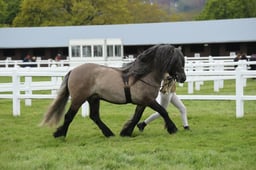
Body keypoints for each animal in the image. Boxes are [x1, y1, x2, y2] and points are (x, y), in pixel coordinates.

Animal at [40, 44, 186, 138]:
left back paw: (108, 133)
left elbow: (137, 117)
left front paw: (126, 132)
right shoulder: (148, 100)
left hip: (93, 98)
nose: (183, 78)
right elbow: (163, 111)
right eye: (176, 61)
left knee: (94, 116)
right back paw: (60, 134)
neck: (143, 76)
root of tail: (73, 71)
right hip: (78, 99)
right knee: (69, 116)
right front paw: (173, 128)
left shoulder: (142, 102)